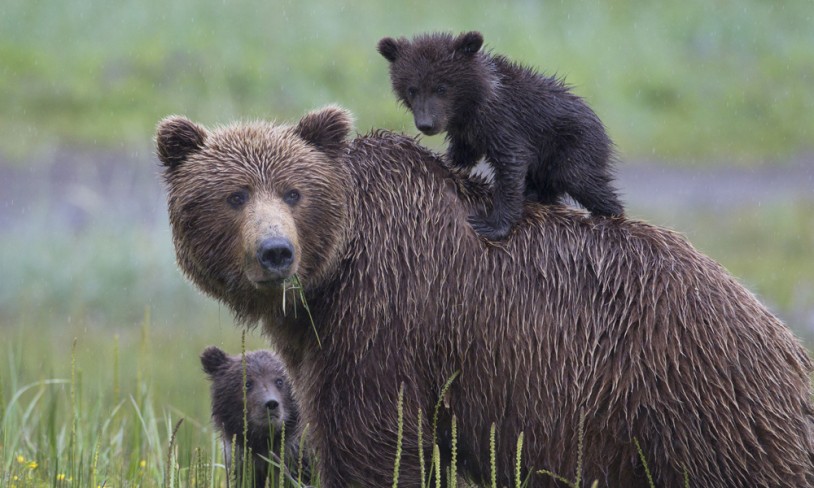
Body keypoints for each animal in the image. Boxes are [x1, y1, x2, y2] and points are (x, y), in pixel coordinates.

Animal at [156, 107, 812, 488]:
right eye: (235, 195)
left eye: (294, 192)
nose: (276, 253)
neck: (337, 271)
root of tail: (780, 336)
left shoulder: (387, 320)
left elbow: (375, 444)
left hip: (694, 403)